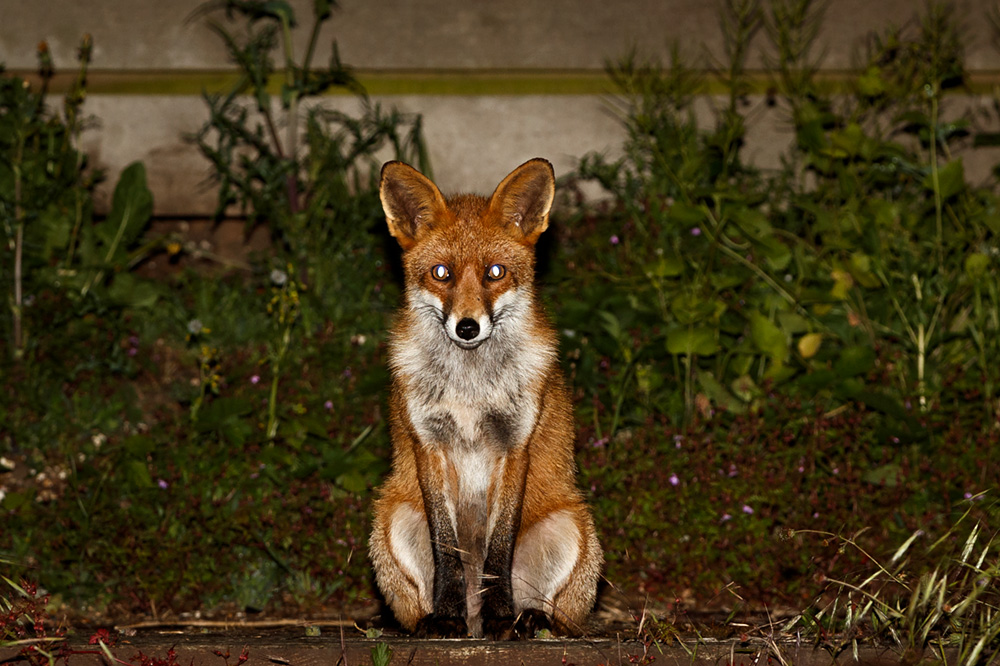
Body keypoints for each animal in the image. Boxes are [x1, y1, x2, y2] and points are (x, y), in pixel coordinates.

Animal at [368, 158, 603, 640]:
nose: (467, 327)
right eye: (441, 273)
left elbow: (499, 550)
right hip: (391, 514)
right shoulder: (429, 445)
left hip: (571, 525)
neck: (471, 392)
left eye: (495, 272)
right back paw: (438, 620)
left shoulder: (515, 446)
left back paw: (526, 618)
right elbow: (447, 550)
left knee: (560, 617)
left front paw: (500, 615)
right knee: (416, 602)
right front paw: (446, 614)